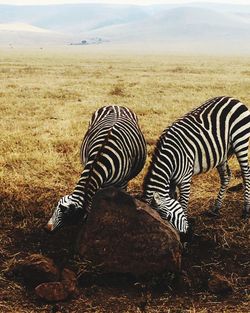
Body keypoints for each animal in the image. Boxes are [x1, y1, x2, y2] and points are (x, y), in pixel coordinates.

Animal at [143, 95, 250, 232]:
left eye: (168, 217)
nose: (185, 233)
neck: (170, 160)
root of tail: (233, 99)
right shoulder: (171, 182)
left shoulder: (185, 180)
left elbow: (183, 204)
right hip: (222, 152)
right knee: (226, 177)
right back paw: (216, 209)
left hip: (240, 140)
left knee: (246, 173)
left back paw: (246, 210)